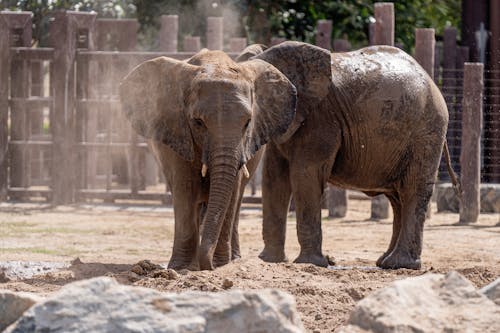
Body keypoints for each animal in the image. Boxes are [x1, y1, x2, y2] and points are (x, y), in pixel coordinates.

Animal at [118, 46, 294, 270]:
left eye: (248, 122)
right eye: (198, 122)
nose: (208, 266)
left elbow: (231, 192)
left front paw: (221, 265)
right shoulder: (178, 130)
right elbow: (185, 189)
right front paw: (180, 268)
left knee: (236, 200)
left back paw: (232, 258)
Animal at [252, 41, 458, 270]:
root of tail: (432, 83)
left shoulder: (321, 118)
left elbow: (304, 175)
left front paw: (310, 263)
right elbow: (274, 177)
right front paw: (270, 260)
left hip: (426, 132)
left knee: (412, 190)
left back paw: (401, 264)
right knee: (398, 198)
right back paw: (385, 262)